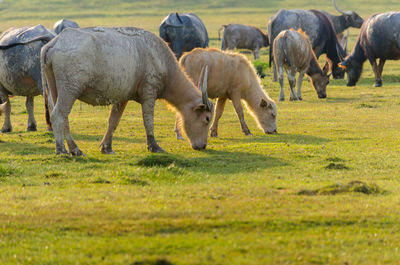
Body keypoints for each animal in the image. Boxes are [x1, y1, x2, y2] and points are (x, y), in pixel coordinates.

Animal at [41, 26, 214, 155]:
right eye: (207, 119)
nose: (203, 146)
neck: (161, 59)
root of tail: (55, 42)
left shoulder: (122, 98)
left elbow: (113, 121)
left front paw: (107, 147)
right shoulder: (149, 93)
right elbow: (148, 120)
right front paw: (154, 146)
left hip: (56, 88)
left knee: (64, 118)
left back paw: (73, 149)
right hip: (70, 89)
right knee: (58, 115)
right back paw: (62, 149)